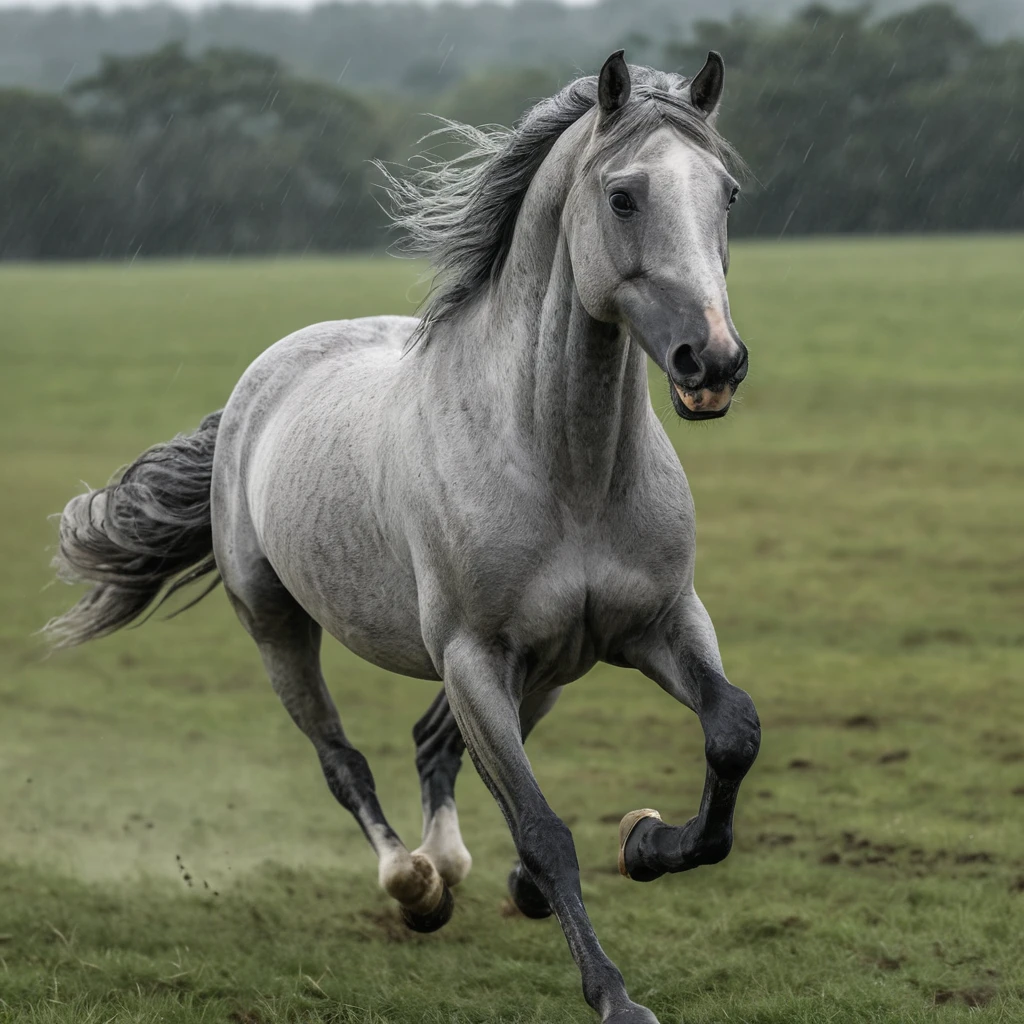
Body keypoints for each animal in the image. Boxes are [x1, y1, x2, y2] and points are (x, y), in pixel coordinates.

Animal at [46, 51, 761, 1024]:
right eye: (623, 196)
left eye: (727, 193)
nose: (713, 361)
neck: (564, 468)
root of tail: (256, 386)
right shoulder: (473, 656)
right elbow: (542, 827)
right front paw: (615, 996)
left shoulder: (660, 624)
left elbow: (732, 733)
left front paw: (644, 841)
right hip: (281, 627)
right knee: (344, 762)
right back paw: (414, 881)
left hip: (548, 668)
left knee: (435, 744)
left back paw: (461, 868)